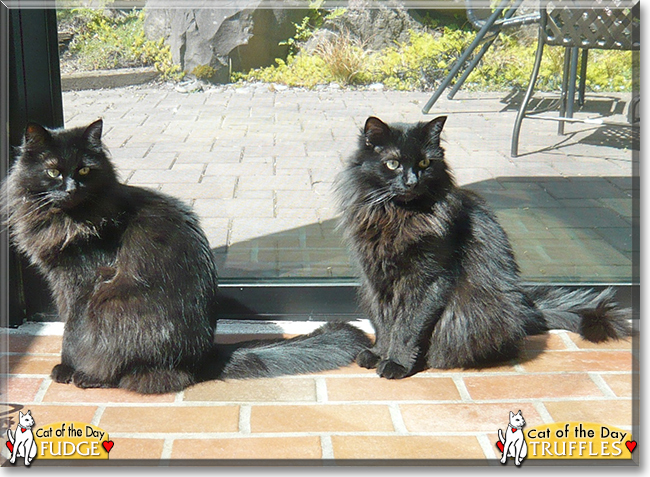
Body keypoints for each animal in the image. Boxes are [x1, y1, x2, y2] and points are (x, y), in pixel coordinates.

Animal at [2, 120, 370, 394]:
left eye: (84, 171)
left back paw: (91, 377)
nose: (70, 188)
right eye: (53, 171)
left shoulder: (83, 286)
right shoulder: (62, 284)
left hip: (113, 309)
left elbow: (73, 333)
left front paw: (67, 367)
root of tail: (202, 355)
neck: (67, 219)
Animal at [336, 116, 632, 380]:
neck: (398, 215)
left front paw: (396, 363)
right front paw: (378, 353)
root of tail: (527, 311)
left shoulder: (429, 278)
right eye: (393, 163)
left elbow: (408, 327)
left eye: (424, 163)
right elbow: (383, 324)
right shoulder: (376, 280)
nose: (411, 182)